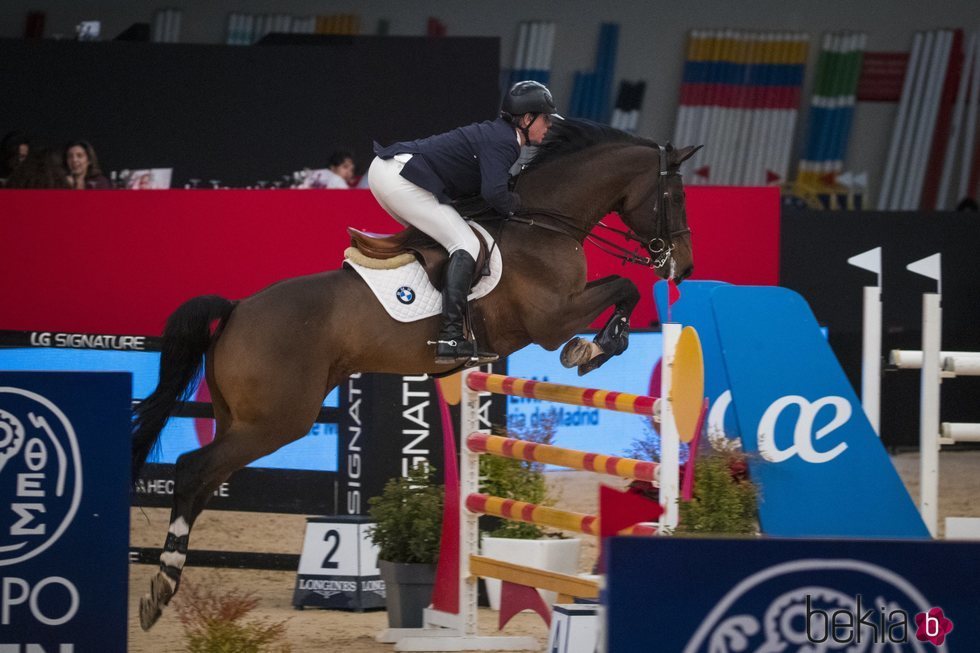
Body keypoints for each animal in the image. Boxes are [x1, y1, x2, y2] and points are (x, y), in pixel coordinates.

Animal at [134, 119, 700, 628]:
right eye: (675, 195)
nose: (684, 267)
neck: (544, 223)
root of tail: (236, 310)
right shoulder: (551, 319)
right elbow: (624, 288)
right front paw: (593, 349)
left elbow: (622, 289)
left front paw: (598, 346)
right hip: (275, 422)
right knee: (192, 470)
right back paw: (161, 587)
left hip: (242, 420)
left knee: (205, 480)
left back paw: (164, 582)